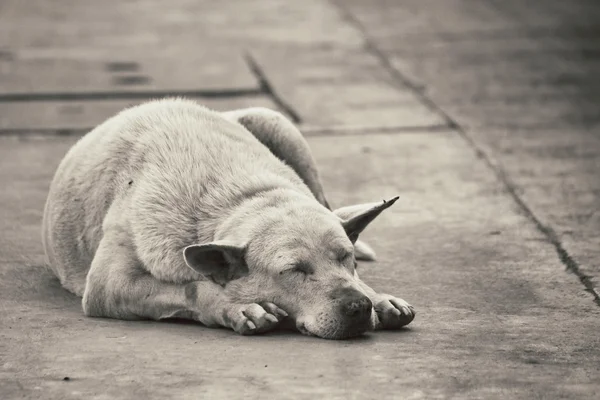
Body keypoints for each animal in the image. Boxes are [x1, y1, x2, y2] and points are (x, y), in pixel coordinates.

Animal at [42, 98, 414, 340]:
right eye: (294, 271)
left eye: (346, 259)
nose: (358, 306)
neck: (241, 195)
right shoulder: (109, 285)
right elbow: (192, 287)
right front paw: (238, 307)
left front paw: (377, 296)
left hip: (274, 121)